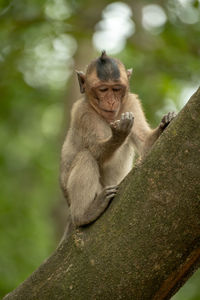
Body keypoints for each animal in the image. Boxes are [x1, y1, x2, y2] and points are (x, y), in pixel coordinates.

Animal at [60, 50, 176, 229]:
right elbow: (96, 152)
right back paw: (84, 214)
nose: (111, 101)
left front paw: (165, 123)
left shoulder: (131, 103)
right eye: (102, 89)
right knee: (86, 156)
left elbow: (146, 144)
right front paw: (118, 134)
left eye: (116, 89)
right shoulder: (83, 113)